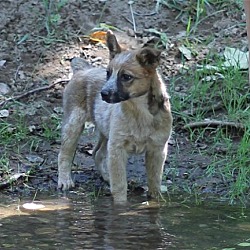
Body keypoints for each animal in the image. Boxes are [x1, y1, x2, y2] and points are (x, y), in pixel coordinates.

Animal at [58, 31, 172, 203]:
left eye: (126, 77)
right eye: (108, 73)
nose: (103, 94)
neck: (138, 111)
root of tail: (83, 70)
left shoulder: (157, 149)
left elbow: (154, 182)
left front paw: (156, 201)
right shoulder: (117, 147)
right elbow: (119, 185)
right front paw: (120, 205)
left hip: (106, 133)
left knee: (97, 153)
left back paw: (106, 176)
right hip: (74, 123)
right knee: (64, 153)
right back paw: (65, 180)